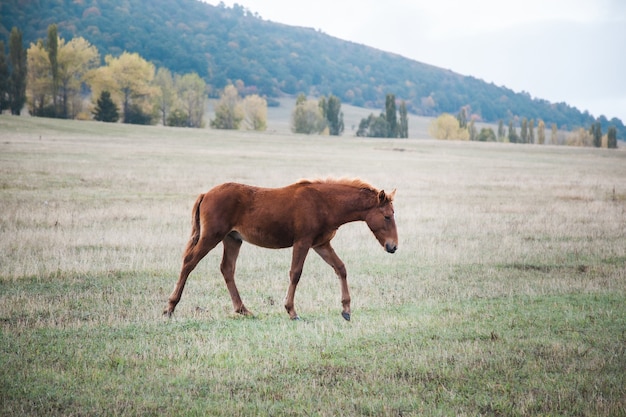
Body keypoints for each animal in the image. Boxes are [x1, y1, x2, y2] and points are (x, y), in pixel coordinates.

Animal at [161, 177, 394, 320]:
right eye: (387, 216)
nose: (393, 246)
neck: (324, 203)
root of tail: (205, 194)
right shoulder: (303, 242)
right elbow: (295, 273)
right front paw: (292, 311)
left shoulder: (321, 244)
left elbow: (341, 268)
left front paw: (346, 309)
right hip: (212, 236)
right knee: (189, 262)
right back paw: (170, 307)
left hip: (232, 239)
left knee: (227, 269)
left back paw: (243, 310)